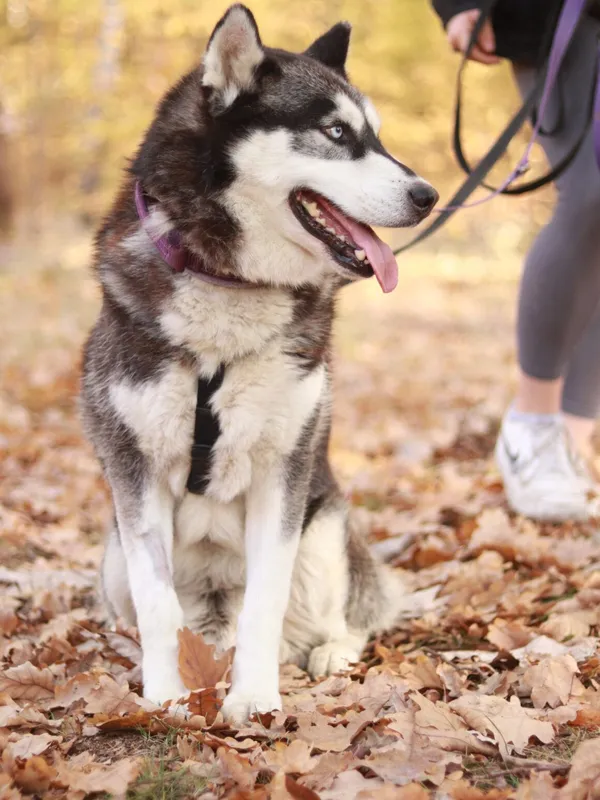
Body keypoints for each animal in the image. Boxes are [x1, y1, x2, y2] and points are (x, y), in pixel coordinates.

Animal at [81, 1, 436, 724]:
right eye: (336, 131)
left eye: (376, 136)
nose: (429, 195)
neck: (228, 289)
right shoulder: (133, 472)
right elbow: (158, 607)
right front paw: (166, 696)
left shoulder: (285, 469)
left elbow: (266, 606)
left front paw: (255, 697)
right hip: (110, 555)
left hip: (324, 530)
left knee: (342, 618)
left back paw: (329, 652)